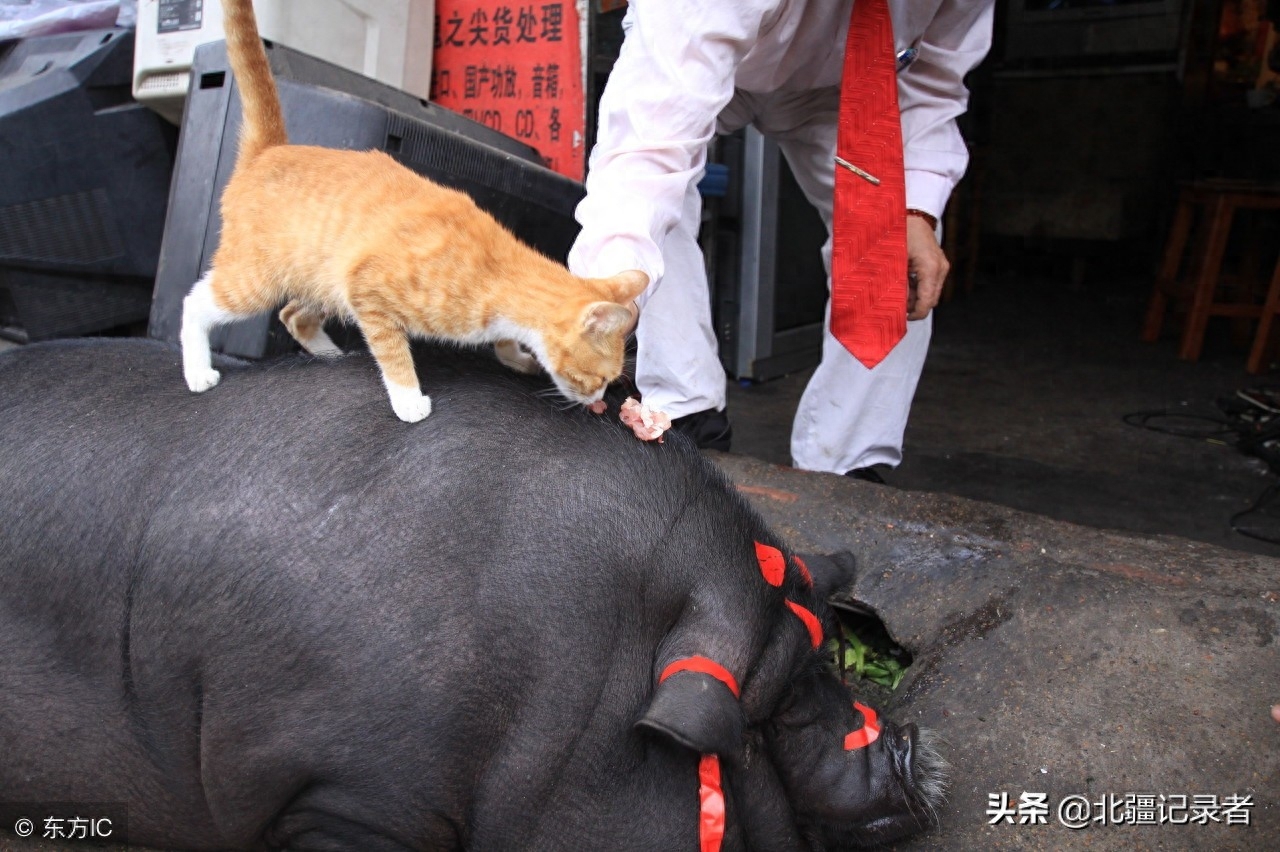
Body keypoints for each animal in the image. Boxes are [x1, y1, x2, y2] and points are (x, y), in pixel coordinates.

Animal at [180, 0, 645, 419]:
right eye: (600, 377)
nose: (597, 400)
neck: (499, 273)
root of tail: (271, 151)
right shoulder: (368, 289)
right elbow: (392, 351)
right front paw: (408, 399)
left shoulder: (357, 287)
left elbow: (505, 343)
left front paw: (516, 357)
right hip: (258, 278)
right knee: (197, 303)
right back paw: (198, 370)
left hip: (325, 279)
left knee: (294, 314)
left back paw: (330, 356)